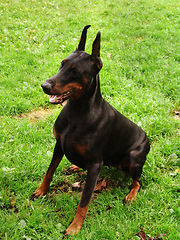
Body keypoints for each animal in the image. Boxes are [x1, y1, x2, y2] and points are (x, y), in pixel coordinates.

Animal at [30, 25, 150, 235]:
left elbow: (84, 200)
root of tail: (148, 139)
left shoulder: (95, 164)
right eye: (62, 64)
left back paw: (131, 195)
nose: (45, 85)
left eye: (75, 71)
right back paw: (76, 166)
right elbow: (49, 171)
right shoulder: (58, 145)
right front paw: (41, 191)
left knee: (138, 181)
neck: (77, 113)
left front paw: (74, 227)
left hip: (134, 157)